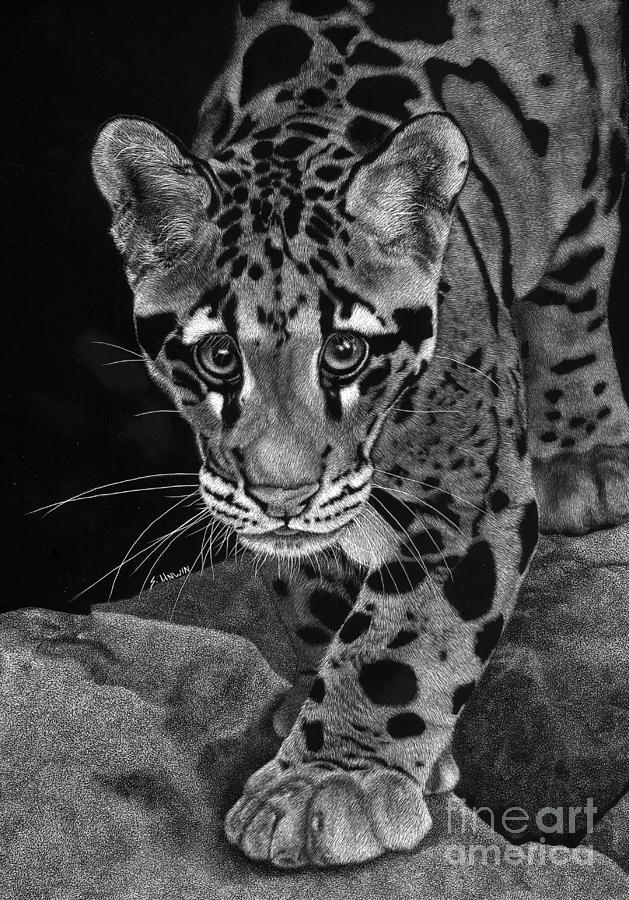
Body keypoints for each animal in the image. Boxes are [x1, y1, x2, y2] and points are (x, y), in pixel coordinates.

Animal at [91, 0, 629, 869]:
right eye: (217, 356)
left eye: (345, 351)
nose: (281, 494)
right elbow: (312, 590)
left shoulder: (468, 495)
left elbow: (403, 645)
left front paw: (330, 786)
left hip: (590, 172)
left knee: (573, 289)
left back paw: (587, 458)